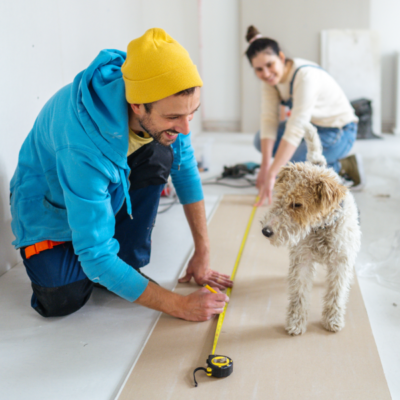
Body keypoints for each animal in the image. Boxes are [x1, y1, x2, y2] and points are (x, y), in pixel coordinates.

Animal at [260, 125, 360, 334]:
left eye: (297, 204)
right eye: (280, 196)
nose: (266, 231)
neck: (321, 228)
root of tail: (319, 165)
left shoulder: (340, 262)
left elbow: (336, 293)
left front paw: (333, 320)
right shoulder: (302, 260)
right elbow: (299, 294)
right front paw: (296, 322)